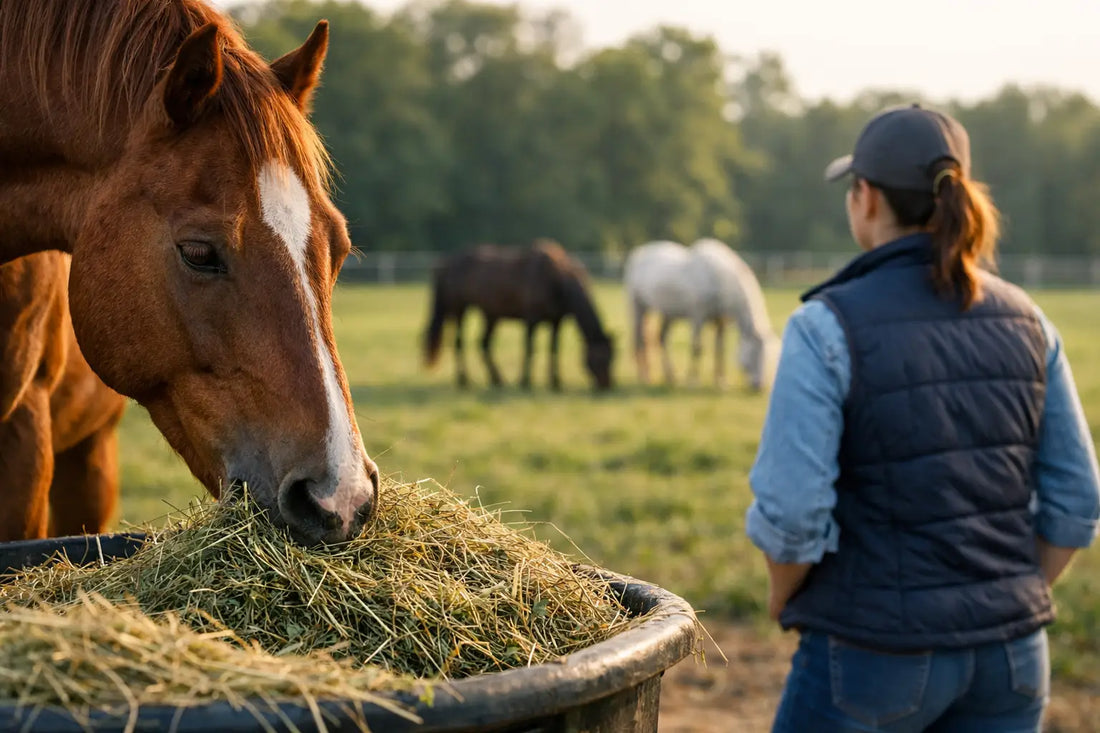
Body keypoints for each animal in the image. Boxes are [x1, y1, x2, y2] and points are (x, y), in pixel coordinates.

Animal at [423, 240, 615, 391]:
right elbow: (529, 348)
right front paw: (525, 381)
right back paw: (464, 381)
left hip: (491, 316)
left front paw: (555, 382)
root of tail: (447, 263)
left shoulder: (556, 322)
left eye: (612, 357)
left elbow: (553, 349)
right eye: (599, 359)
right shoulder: (531, 319)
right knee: (458, 342)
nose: (606, 385)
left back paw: (497, 380)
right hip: (459, 309)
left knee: (483, 343)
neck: (557, 281)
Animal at [624, 238, 779, 391]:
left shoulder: (720, 322)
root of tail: (638, 254)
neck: (717, 278)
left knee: (661, 338)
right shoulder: (698, 317)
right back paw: (645, 377)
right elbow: (697, 348)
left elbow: (719, 350)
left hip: (668, 313)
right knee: (640, 340)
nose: (759, 386)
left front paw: (720, 381)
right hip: (638, 307)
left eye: (770, 357)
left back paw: (670, 376)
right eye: (754, 353)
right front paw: (692, 381)